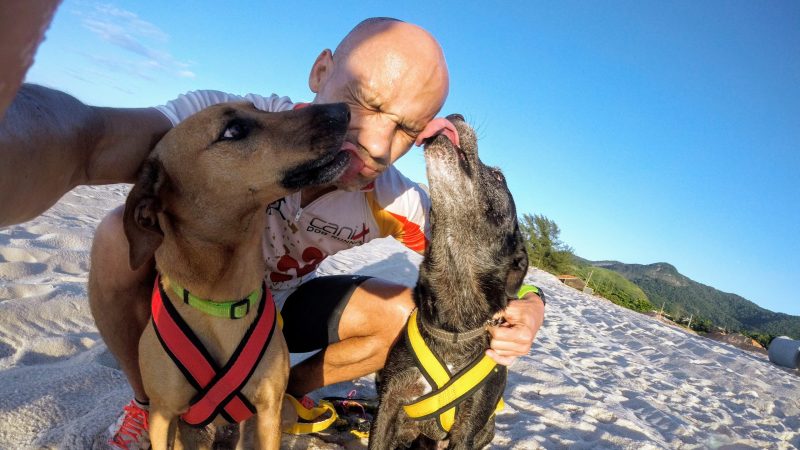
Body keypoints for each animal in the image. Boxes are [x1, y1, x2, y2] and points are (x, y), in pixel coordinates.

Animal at [118, 102, 346, 450]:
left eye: (258, 108)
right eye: (233, 130)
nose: (344, 110)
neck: (222, 301)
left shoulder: (268, 412)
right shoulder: (162, 415)